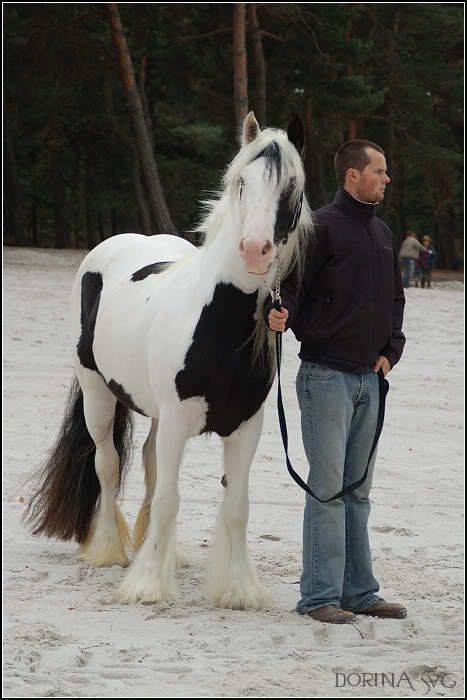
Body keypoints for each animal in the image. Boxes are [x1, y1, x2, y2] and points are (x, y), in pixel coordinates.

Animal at [23, 112, 312, 608]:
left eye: (290, 188)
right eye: (242, 183)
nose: (255, 250)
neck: (217, 323)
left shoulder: (246, 427)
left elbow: (236, 506)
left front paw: (237, 589)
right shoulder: (178, 419)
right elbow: (168, 499)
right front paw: (146, 585)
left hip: (155, 412)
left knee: (151, 463)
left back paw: (159, 551)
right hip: (98, 395)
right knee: (107, 464)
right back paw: (108, 549)